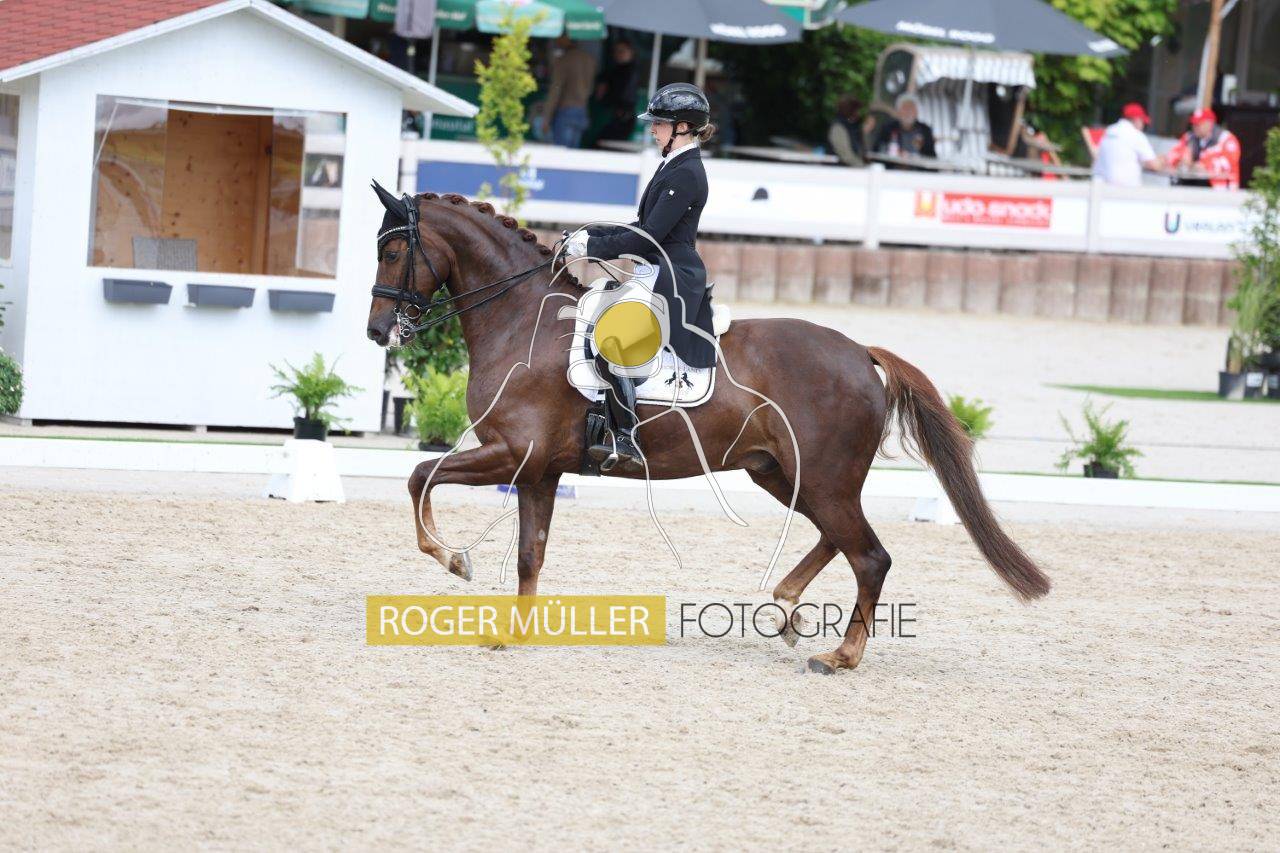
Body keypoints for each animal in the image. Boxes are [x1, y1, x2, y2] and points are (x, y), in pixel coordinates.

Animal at [365, 189, 1051, 673]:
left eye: (393, 253)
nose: (378, 331)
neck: (521, 321)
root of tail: (860, 352)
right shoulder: (538, 471)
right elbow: (531, 553)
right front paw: (512, 632)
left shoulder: (512, 454)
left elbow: (420, 475)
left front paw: (454, 559)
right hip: (783, 473)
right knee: (838, 539)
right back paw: (784, 609)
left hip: (820, 477)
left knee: (869, 555)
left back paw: (838, 656)